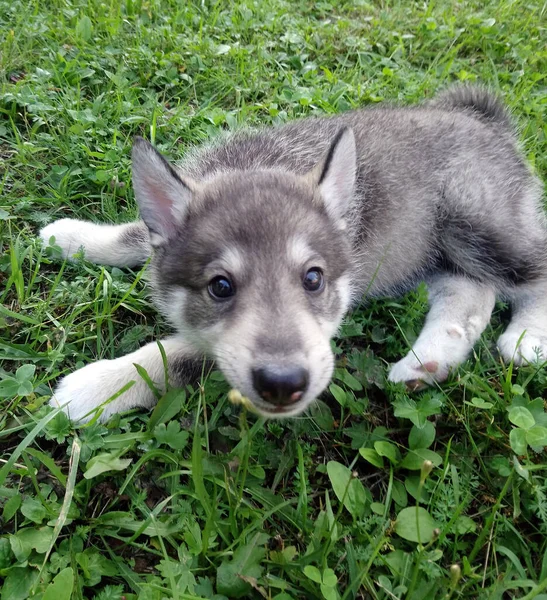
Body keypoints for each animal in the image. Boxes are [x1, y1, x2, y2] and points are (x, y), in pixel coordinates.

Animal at [41, 88, 547, 422]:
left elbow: (178, 352)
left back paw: (526, 339)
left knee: (532, 269)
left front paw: (101, 386)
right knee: (472, 294)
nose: (285, 385)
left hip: (475, 222)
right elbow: (132, 236)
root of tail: (489, 122)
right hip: (434, 250)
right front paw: (71, 237)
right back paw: (426, 364)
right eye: (220, 286)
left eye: (313, 278)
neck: (259, 164)